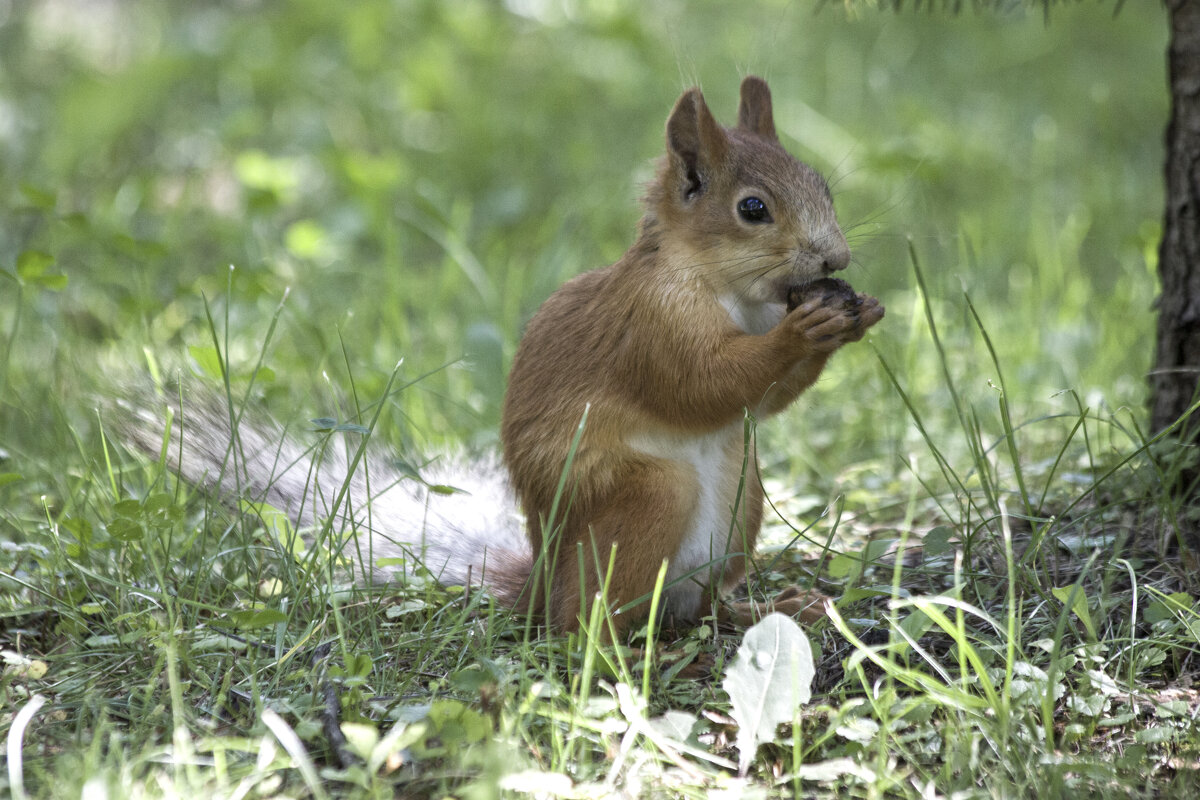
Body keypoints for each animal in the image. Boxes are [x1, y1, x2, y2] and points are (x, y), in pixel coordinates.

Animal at [121, 74, 883, 638]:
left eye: (823, 186)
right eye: (753, 209)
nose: (837, 259)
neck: (728, 291)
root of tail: (543, 584)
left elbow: (764, 401)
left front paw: (856, 316)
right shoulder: (650, 326)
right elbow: (701, 385)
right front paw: (803, 332)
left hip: (741, 493)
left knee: (700, 608)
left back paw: (765, 609)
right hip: (648, 502)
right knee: (586, 628)